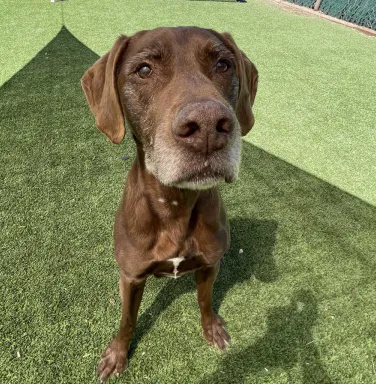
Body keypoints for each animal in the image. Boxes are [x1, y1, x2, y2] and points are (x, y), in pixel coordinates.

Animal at [81, 26, 258, 380]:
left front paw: (211, 328)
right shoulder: (132, 277)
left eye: (223, 64)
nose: (208, 126)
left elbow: (205, 300)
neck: (177, 204)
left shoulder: (210, 264)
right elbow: (127, 320)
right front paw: (117, 355)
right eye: (144, 70)